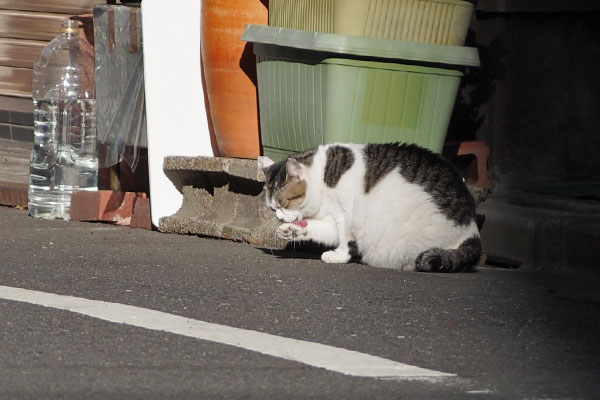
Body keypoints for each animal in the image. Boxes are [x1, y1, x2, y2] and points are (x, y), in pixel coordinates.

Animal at [258, 141, 482, 272]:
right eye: (272, 208)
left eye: (283, 204)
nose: (278, 217)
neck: (323, 180)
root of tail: (472, 228)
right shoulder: (331, 222)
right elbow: (318, 229)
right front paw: (290, 231)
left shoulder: (346, 215)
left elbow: (345, 239)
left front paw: (339, 257)